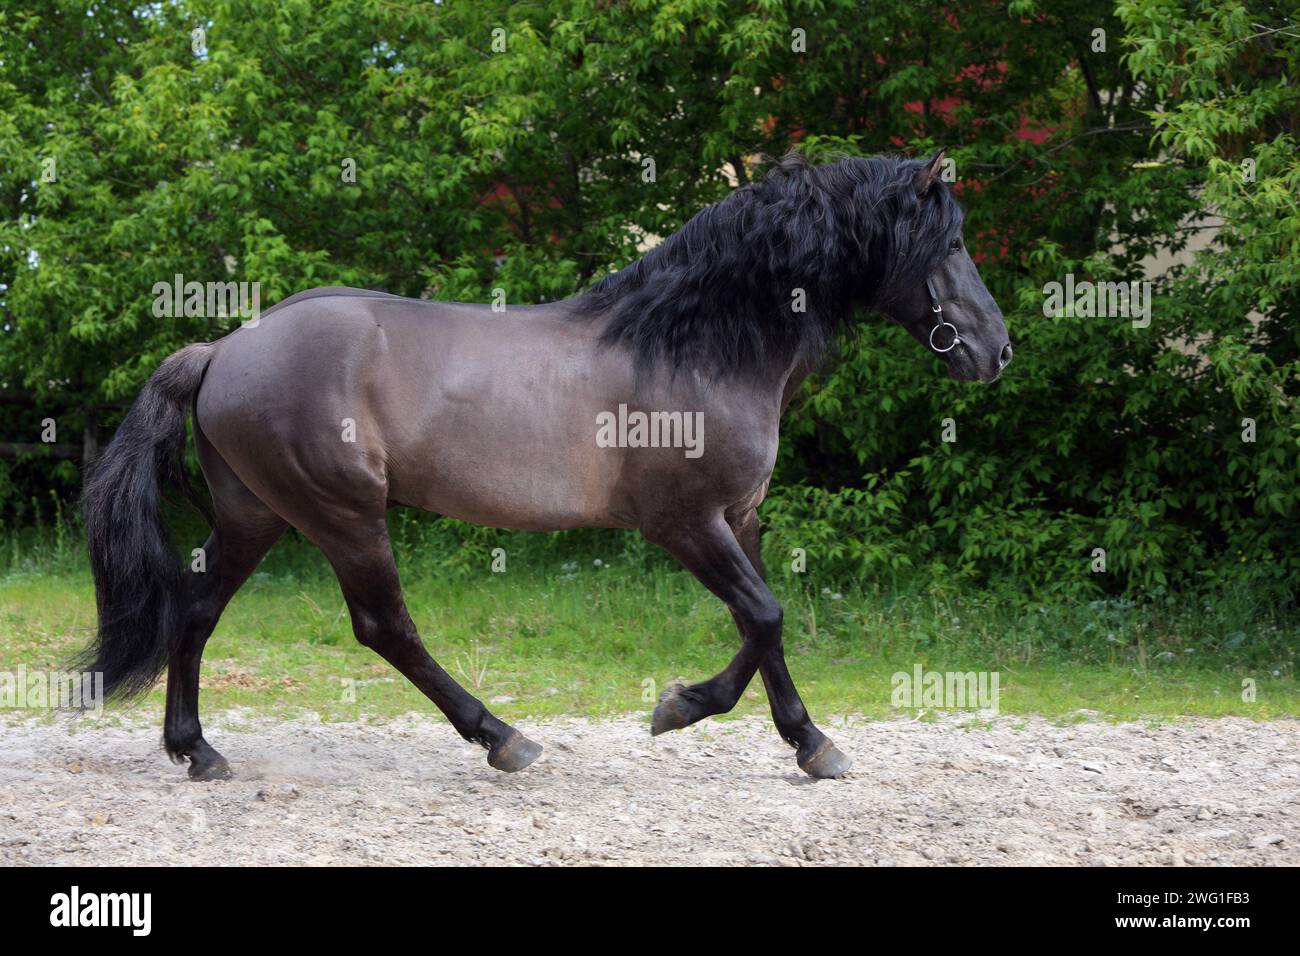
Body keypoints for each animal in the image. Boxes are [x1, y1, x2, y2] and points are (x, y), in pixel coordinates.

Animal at [81, 147, 1008, 780]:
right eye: (950, 243)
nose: (997, 350)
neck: (691, 346)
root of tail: (222, 349)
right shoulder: (682, 523)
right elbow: (768, 614)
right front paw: (706, 715)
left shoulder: (736, 517)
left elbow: (761, 626)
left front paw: (782, 734)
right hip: (342, 514)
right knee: (385, 627)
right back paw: (504, 739)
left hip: (258, 512)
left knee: (197, 606)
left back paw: (196, 750)